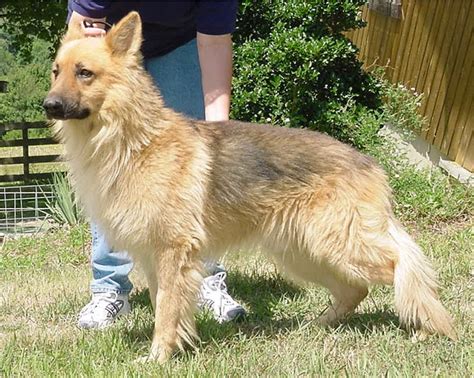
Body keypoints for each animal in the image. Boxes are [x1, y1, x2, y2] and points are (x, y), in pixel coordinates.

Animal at [43, 11, 456, 360]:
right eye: (56, 72)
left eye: (84, 73)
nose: (48, 105)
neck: (132, 140)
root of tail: (369, 163)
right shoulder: (154, 258)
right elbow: (166, 306)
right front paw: (175, 347)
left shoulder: (172, 253)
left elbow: (166, 311)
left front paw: (158, 357)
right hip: (304, 251)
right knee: (357, 288)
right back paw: (319, 324)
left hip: (337, 244)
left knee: (404, 267)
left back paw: (430, 327)